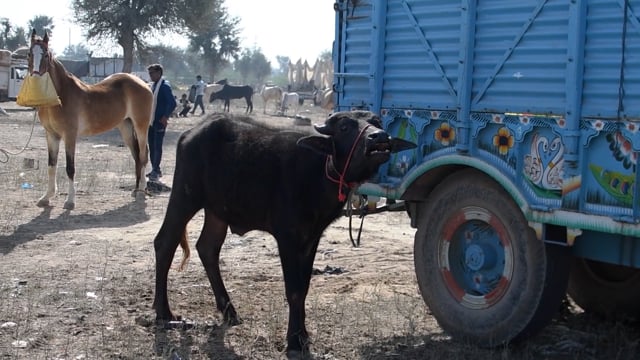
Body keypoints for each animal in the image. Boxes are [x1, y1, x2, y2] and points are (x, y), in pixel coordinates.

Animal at [27, 31, 154, 211]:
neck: (61, 96)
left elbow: (70, 168)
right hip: (126, 127)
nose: (36, 80)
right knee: (136, 156)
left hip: (141, 126)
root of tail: (143, 83)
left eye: (46, 55)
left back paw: (141, 191)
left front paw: (70, 201)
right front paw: (46, 197)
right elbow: (51, 165)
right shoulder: (51, 135)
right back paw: (136, 190)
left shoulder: (70, 136)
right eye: (29, 54)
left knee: (143, 155)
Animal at [153, 109, 418, 358]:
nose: (379, 137)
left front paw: (304, 335)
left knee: (207, 248)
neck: (319, 172)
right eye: (345, 126)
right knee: (164, 242)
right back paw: (164, 312)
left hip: (217, 210)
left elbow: (304, 288)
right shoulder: (287, 238)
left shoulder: (312, 239)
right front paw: (294, 341)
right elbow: (294, 290)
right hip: (185, 196)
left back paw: (229, 312)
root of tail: (191, 133)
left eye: (377, 123)